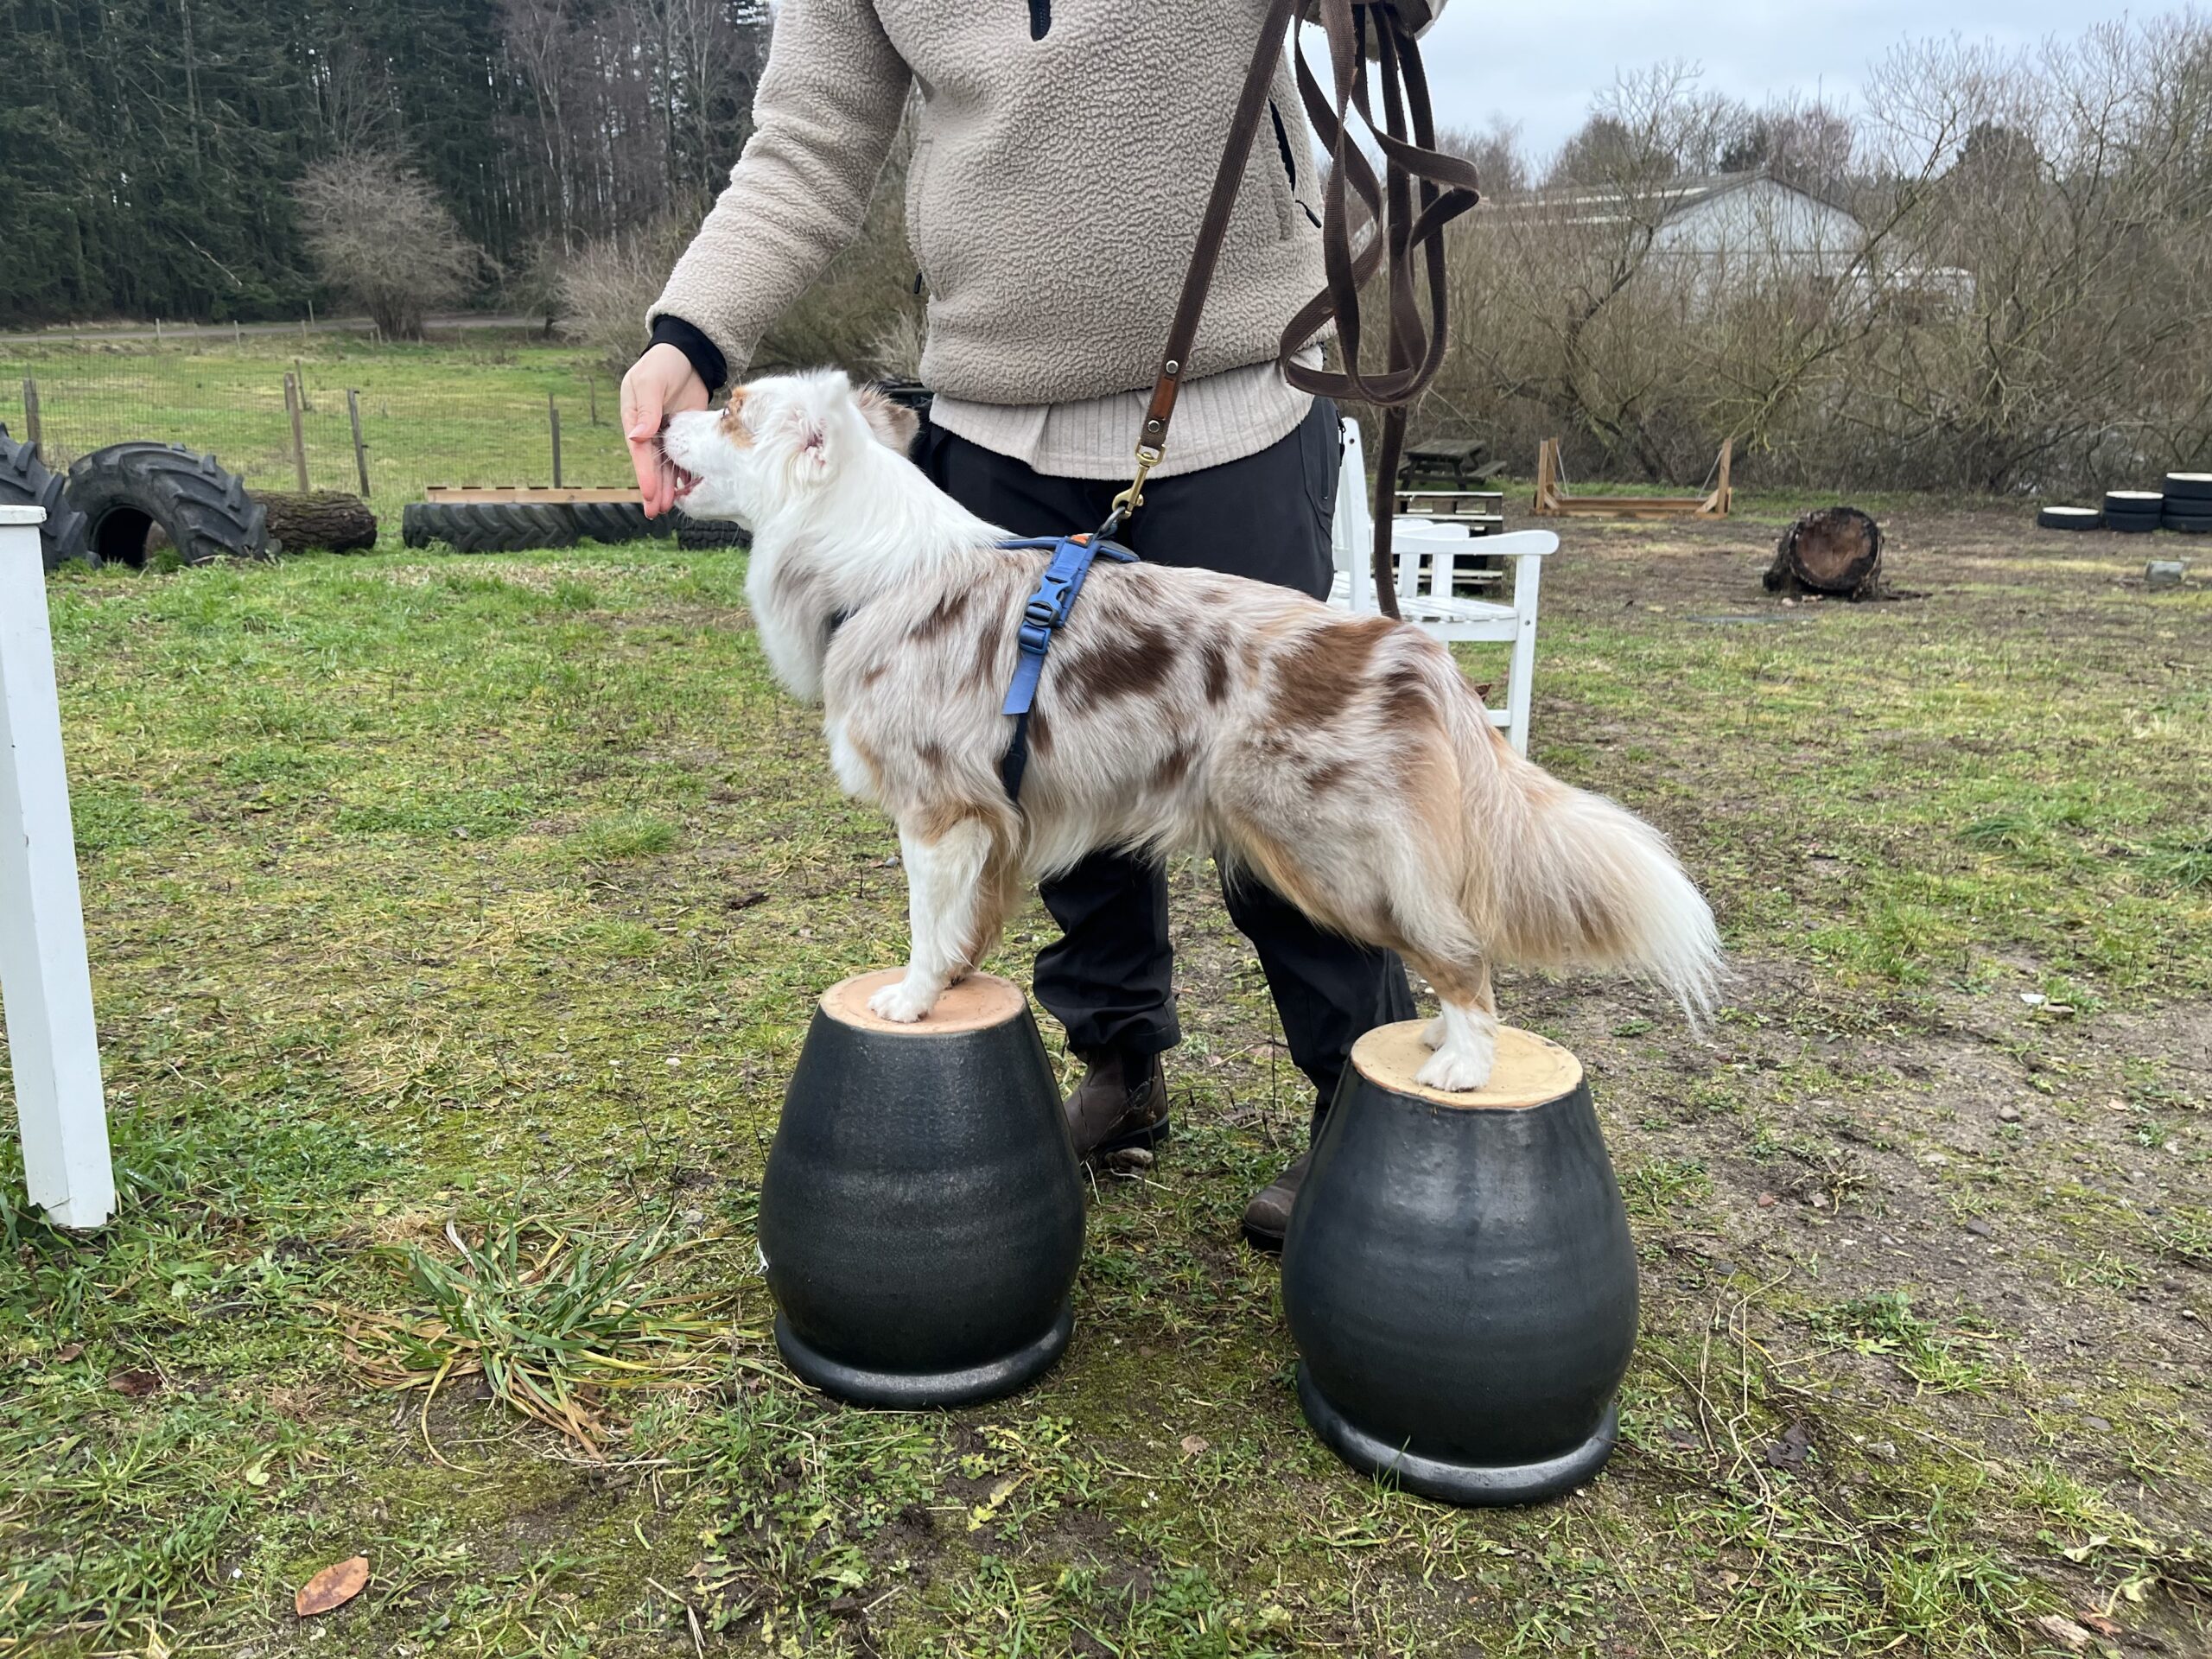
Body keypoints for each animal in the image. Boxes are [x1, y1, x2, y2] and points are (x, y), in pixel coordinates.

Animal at [664, 369, 1716, 1092]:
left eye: (731, 410)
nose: (664, 412)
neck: (876, 564)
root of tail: (1414, 649)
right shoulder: (996, 821)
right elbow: (966, 927)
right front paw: (955, 982)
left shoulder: (937, 811)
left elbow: (926, 925)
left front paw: (913, 1000)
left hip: (1332, 855)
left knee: (1457, 949)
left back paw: (1461, 1060)